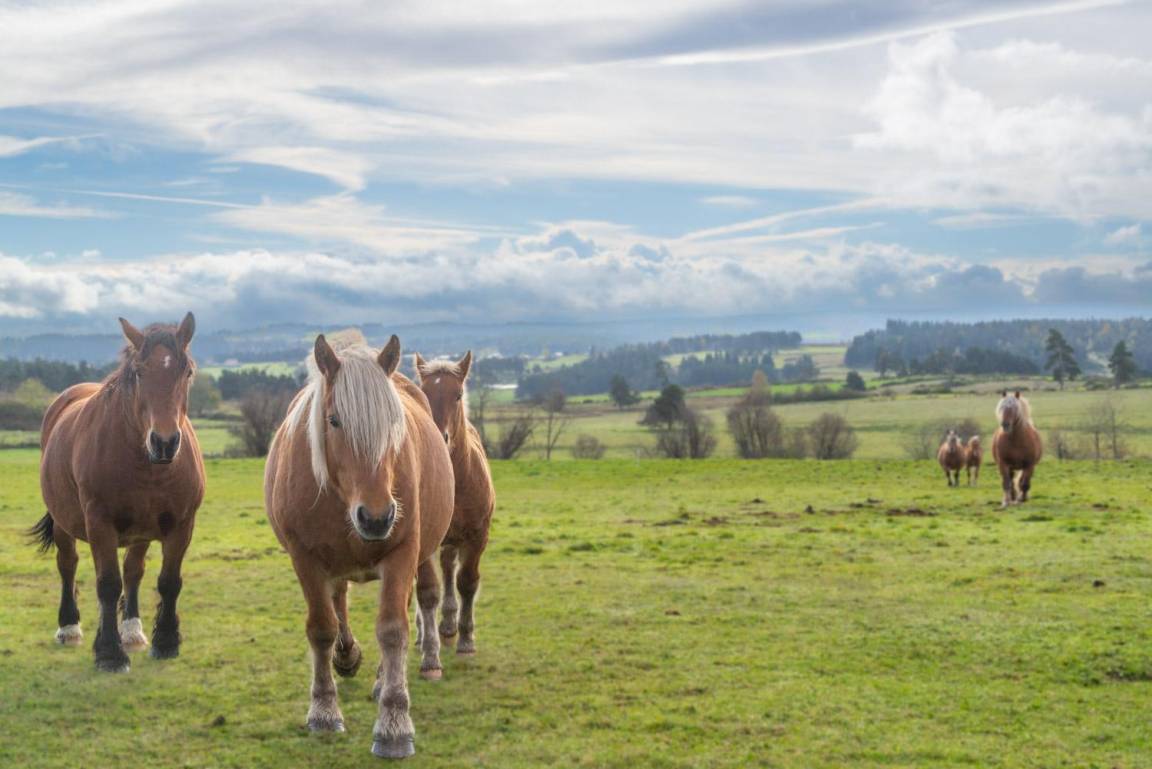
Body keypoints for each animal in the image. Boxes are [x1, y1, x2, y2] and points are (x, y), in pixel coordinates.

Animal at [33, 313, 204, 672]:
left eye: (187, 372)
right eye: (139, 372)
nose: (164, 442)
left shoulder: (182, 525)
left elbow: (169, 581)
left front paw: (166, 641)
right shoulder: (100, 523)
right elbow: (108, 584)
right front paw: (109, 653)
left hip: (141, 530)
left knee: (133, 570)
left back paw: (133, 630)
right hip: (64, 522)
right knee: (67, 564)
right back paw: (69, 627)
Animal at [264, 334, 454, 759]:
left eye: (394, 420)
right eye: (334, 420)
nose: (377, 518)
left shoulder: (402, 553)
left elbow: (393, 629)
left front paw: (394, 724)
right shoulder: (306, 559)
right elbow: (322, 627)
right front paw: (322, 710)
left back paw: (384, 680)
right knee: (338, 602)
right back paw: (346, 656)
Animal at [414, 351, 495, 656]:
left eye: (458, 394)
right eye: (423, 392)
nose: (440, 437)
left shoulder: (477, 535)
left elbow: (467, 582)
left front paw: (466, 639)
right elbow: (426, 590)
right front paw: (429, 646)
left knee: (449, 568)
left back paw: (449, 626)